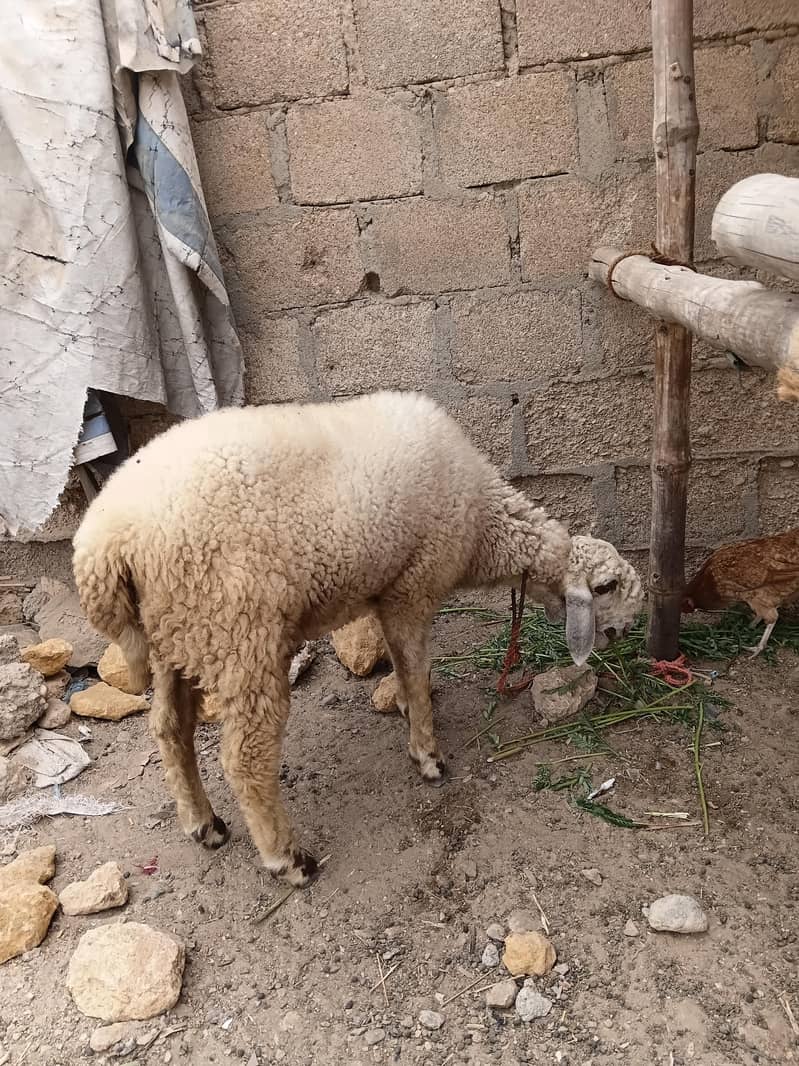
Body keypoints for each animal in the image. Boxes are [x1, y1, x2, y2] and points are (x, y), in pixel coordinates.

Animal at [73, 391, 643, 886]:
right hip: (238, 635)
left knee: (170, 729)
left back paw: (202, 823)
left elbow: (402, 664)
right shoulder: (414, 586)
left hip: (179, 633)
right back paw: (288, 859)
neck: (485, 526)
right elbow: (414, 664)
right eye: (607, 587)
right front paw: (428, 755)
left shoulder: (385, 590)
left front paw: (411, 712)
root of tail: (105, 544)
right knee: (244, 758)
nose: (623, 633)